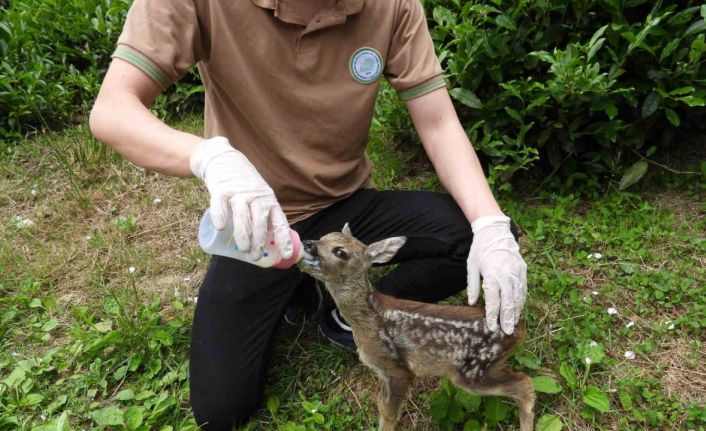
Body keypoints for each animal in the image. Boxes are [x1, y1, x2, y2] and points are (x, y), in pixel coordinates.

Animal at [296, 226, 532, 431]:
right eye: (323, 236)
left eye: (339, 252)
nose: (307, 243)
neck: (367, 320)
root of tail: (518, 329)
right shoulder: (382, 373)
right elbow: (381, 405)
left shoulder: (397, 369)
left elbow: (389, 412)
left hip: (473, 371)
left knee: (525, 383)